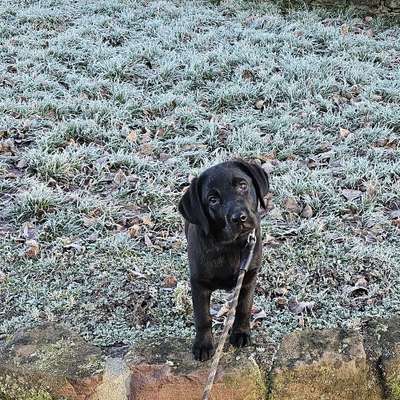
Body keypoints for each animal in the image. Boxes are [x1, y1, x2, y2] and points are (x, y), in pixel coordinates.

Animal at [178, 159, 268, 362]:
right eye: (213, 200)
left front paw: (241, 333)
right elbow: (203, 317)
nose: (239, 217)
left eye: (243, 185)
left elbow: (244, 307)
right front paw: (203, 345)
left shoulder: (249, 277)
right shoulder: (199, 283)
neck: (230, 245)